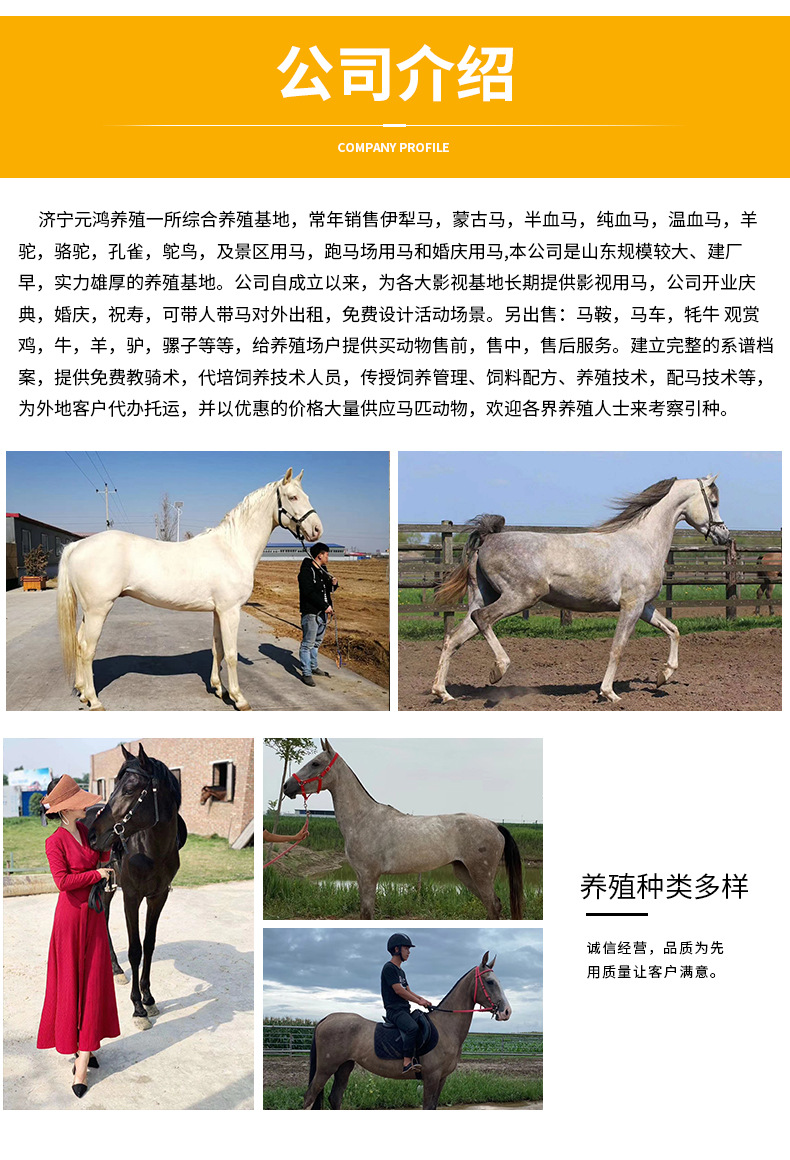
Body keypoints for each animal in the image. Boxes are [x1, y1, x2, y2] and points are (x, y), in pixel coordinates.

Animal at [57, 468, 322, 710]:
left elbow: (217, 649)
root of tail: (78, 545)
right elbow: (231, 654)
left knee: (79, 644)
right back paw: (94, 700)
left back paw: (82, 692)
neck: (232, 548)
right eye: (292, 497)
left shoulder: (218, 611)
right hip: (98, 610)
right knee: (87, 648)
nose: (317, 529)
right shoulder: (230, 611)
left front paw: (219, 689)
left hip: (89, 612)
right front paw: (239, 698)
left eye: (306, 495)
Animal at [87, 744, 187, 1030]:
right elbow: (135, 949)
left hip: (107, 886)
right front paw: (138, 1008)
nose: (93, 835)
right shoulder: (131, 896)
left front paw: (149, 998)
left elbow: (148, 944)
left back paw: (115, 970)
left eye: (129, 789)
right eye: (114, 786)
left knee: (104, 917)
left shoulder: (158, 896)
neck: (152, 851)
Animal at [283, 739, 524, 920]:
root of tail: (494, 825)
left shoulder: (369, 876)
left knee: (493, 905)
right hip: (464, 872)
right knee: (492, 906)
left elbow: (367, 914)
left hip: (481, 874)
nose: (287, 786)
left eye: (315, 763)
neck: (362, 819)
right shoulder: (361, 877)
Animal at [303, 952, 511, 1110]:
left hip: (344, 1067)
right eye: (490, 982)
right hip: (326, 1068)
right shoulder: (431, 1077)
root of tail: (326, 1019)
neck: (445, 1028)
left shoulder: (441, 1078)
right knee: (309, 1097)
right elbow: (428, 1107)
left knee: (335, 1098)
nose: (506, 1011)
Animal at [431, 474, 730, 705]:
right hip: (520, 597)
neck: (642, 542)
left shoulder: (644, 607)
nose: (724, 535)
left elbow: (673, 630)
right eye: (714, 502)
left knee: (453, 638)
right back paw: (498, 670)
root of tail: (488, 540)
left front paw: (663, 676)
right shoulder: (631, 606)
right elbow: (618, 648)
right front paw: (609, 693)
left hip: (483, 597)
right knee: (482, 621)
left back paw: (443, 693)